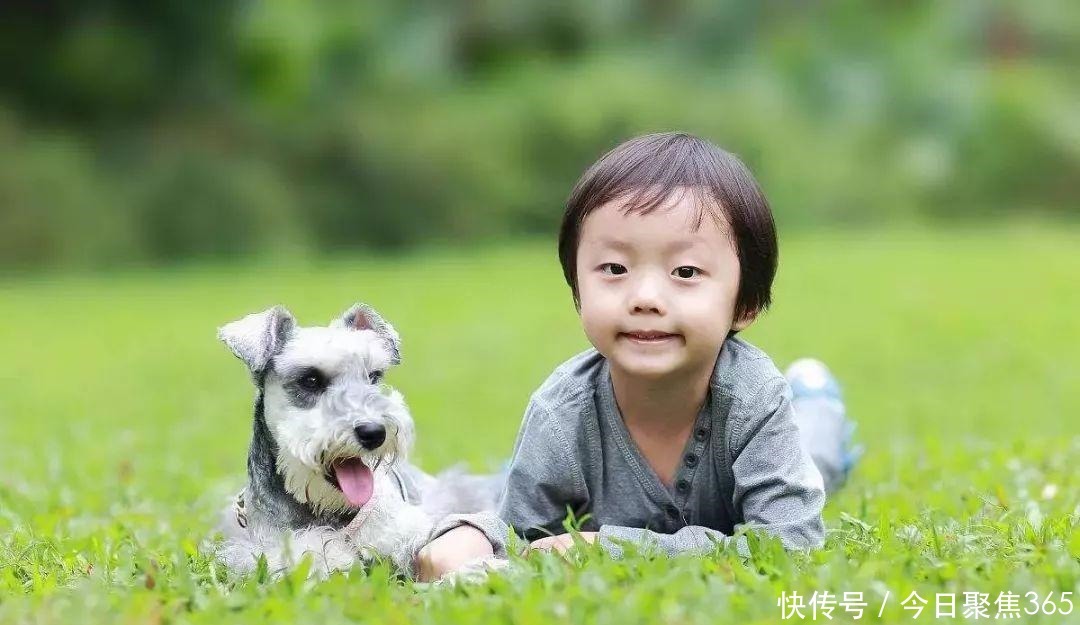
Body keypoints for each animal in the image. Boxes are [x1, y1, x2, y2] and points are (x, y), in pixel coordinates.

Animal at [212, 300, 503, 578]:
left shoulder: (408, 527)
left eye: (374, 376)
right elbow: (310, 552)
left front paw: (480, 569)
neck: (332, 511)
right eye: (310, 380)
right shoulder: (263, 548)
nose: (374, 432)